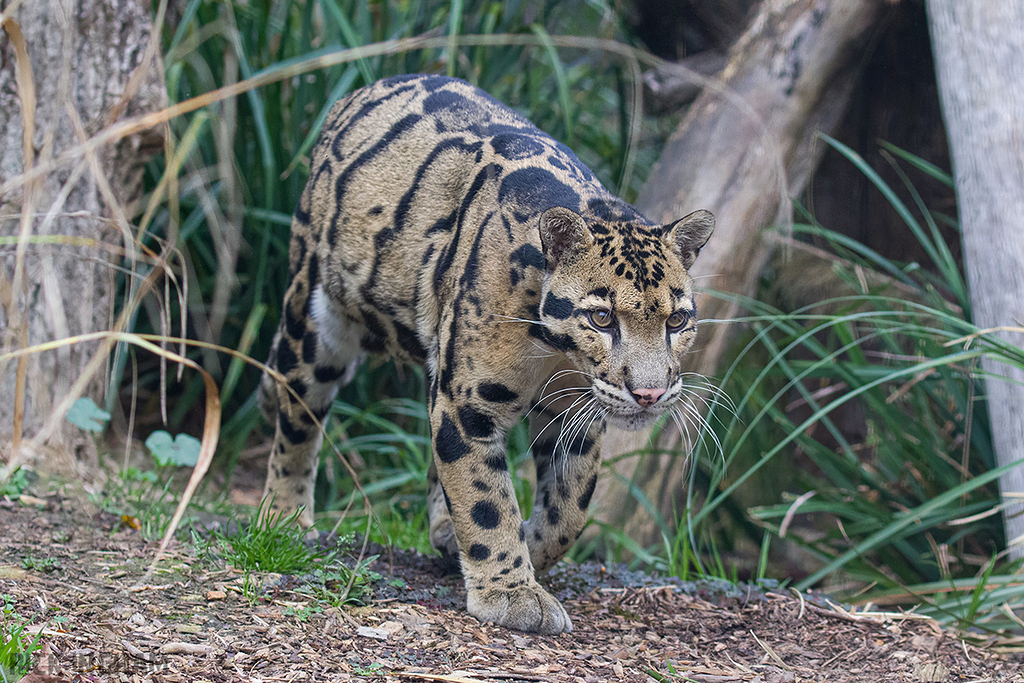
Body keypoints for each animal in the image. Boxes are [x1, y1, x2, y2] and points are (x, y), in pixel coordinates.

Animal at [258, 73, 714, 634]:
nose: (650, 393)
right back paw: (285, 517)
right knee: (296, 415)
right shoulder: (466, 402)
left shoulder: (572, 413)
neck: (554, 351)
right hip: (315, 315)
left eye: (676, 321)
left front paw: (527, 551)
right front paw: (512, 592)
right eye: (602, 318)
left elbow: (570, 507)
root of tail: (360, 92)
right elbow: (483, 496)